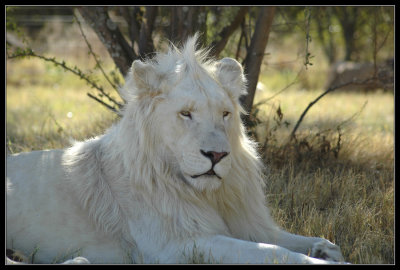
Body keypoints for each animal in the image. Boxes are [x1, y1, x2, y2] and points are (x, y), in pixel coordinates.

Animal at [5, 34, 344, 264]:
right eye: (186, 114)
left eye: (225, 114)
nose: (217, 156)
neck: (210, 195)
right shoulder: (175, 246)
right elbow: (271, 252)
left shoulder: (247, 224)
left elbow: (291, 240)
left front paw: (326, 249)